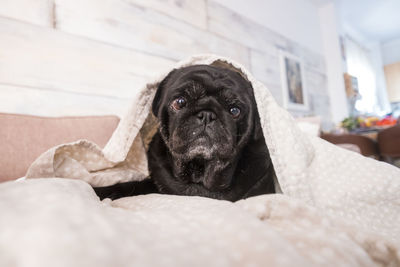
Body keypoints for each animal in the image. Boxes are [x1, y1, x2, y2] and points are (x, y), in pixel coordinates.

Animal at [94, 66, 276, 202]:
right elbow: (130, 186)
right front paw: (101, 191)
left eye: (235, 111)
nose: (207, 114)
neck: (198, 171)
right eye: (179, 102)